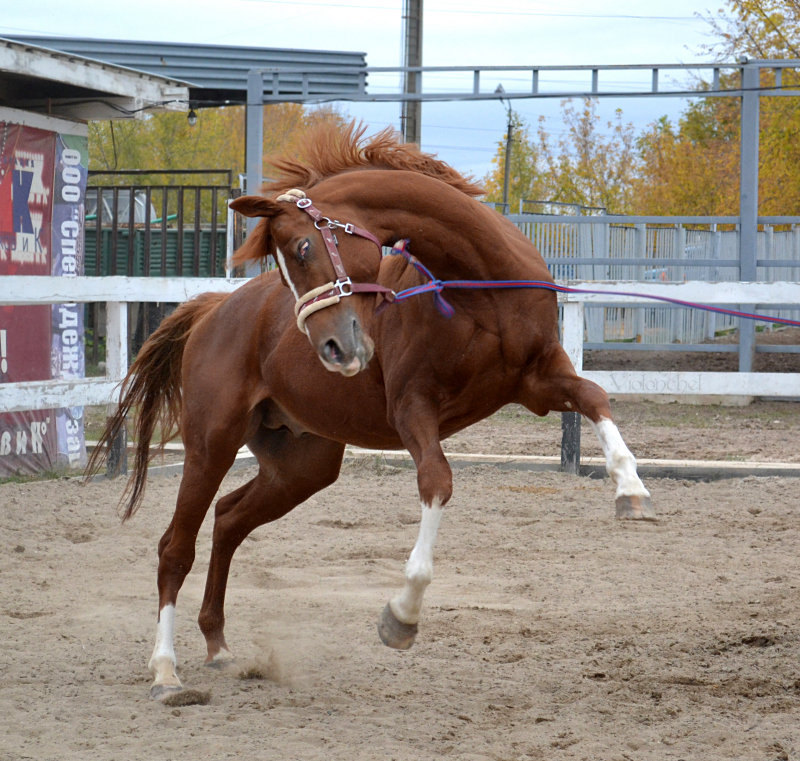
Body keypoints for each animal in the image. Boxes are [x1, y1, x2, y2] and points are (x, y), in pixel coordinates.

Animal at [94, 121, 652, 696]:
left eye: (302, 247)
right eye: (287, 265)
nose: (332, 349)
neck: (479, 286)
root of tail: (213, 311)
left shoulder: (540, 380)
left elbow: (593, 396)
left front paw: (631, 490)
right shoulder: (412, 408)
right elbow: (437, 482)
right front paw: (401, 616)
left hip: (301, 466)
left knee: (228, 519)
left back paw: (219, 646)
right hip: (211, 446)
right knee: (175, 548)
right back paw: (165, 670)